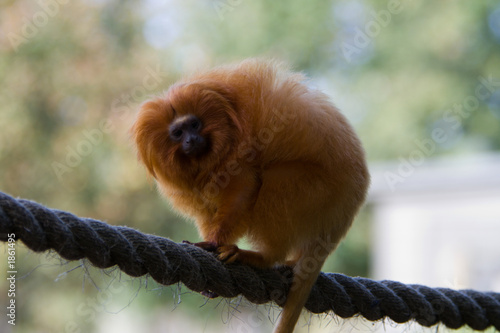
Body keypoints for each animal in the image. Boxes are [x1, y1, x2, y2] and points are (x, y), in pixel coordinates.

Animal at [131, 59, 370, 332]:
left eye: (194, 125)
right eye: (178, 133)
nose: (192, 139)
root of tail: (347, 211)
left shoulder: (238, 157)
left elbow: (243, 191)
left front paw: (213, 243)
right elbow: (209, 212)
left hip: (323, 191)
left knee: (277, 180)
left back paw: (263, 257)